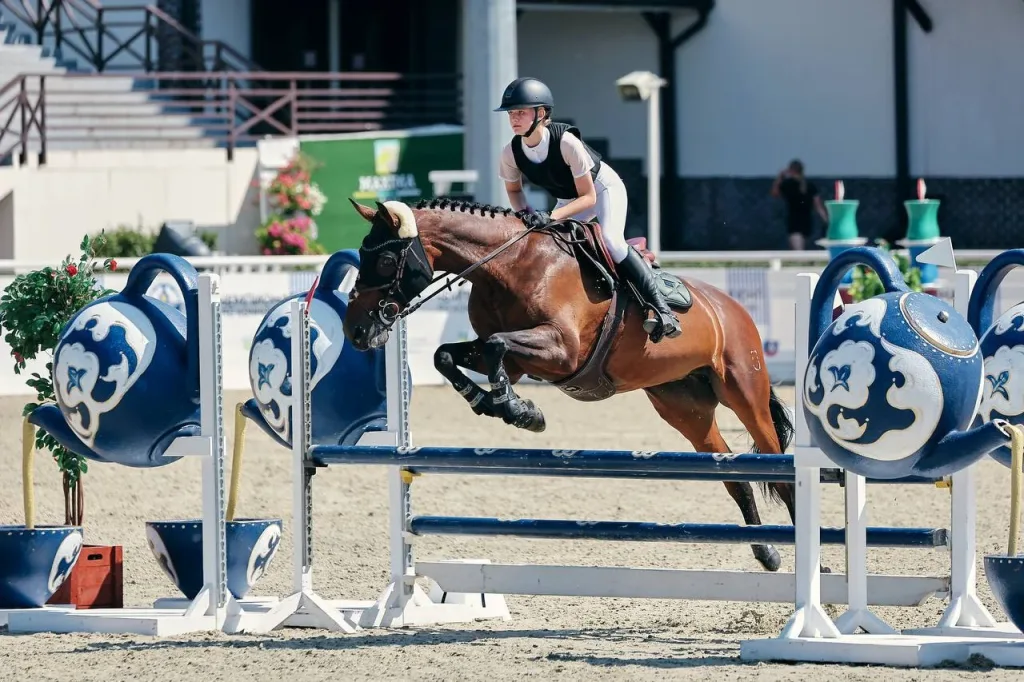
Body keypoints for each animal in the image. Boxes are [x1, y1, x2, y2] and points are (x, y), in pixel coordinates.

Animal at [342, 197, 797, 573]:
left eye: (385, 261)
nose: (356, 332)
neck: (508, 265)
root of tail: (731, 307)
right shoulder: (518, 361)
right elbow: (449, 355)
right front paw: (498, 404)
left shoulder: (562, 350)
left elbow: (495, 345)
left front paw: (518, 410)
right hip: (685, 409)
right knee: (735, 475)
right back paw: (766, 551)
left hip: (745, 393)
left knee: (778, 469)